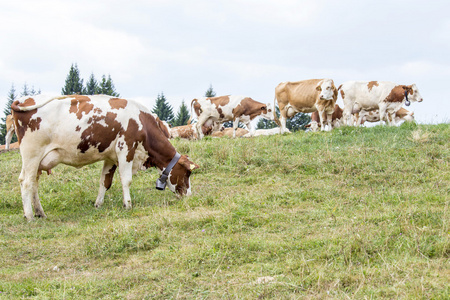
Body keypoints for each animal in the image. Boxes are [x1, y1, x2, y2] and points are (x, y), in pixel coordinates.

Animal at [10, 94, 199, 220]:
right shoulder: (125, 148)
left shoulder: (110, 157)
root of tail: (25, 100)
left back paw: (39, 212)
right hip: (32, 153)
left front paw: (98, 204)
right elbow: (126, 180)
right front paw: (128, 204)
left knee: (33, 182)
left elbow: (105, 182)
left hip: (37, 160)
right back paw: (29, 215)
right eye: (187, 173)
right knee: (26, 182)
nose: (189, 195)